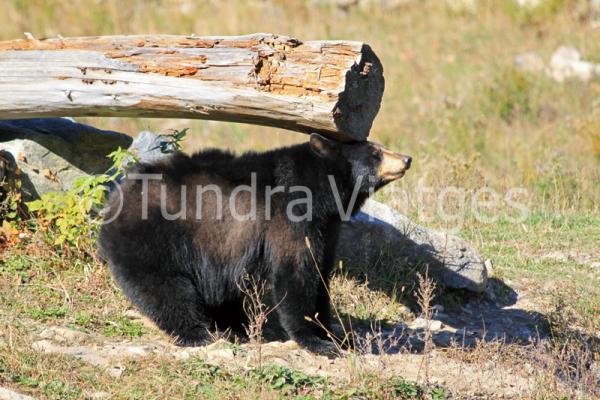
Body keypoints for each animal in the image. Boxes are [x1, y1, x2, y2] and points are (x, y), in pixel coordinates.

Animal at [98, 134, 410, 354]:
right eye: (375, 153)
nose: (406, 158)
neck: (321, 192)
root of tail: (115, 198)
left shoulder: (326, 227)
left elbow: (321, 272)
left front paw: (333, 333)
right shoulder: (289, 220)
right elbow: (296, 274)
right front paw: (316, 341)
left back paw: (233, 326)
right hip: (155, 239)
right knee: (166, 290)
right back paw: (200, 333)